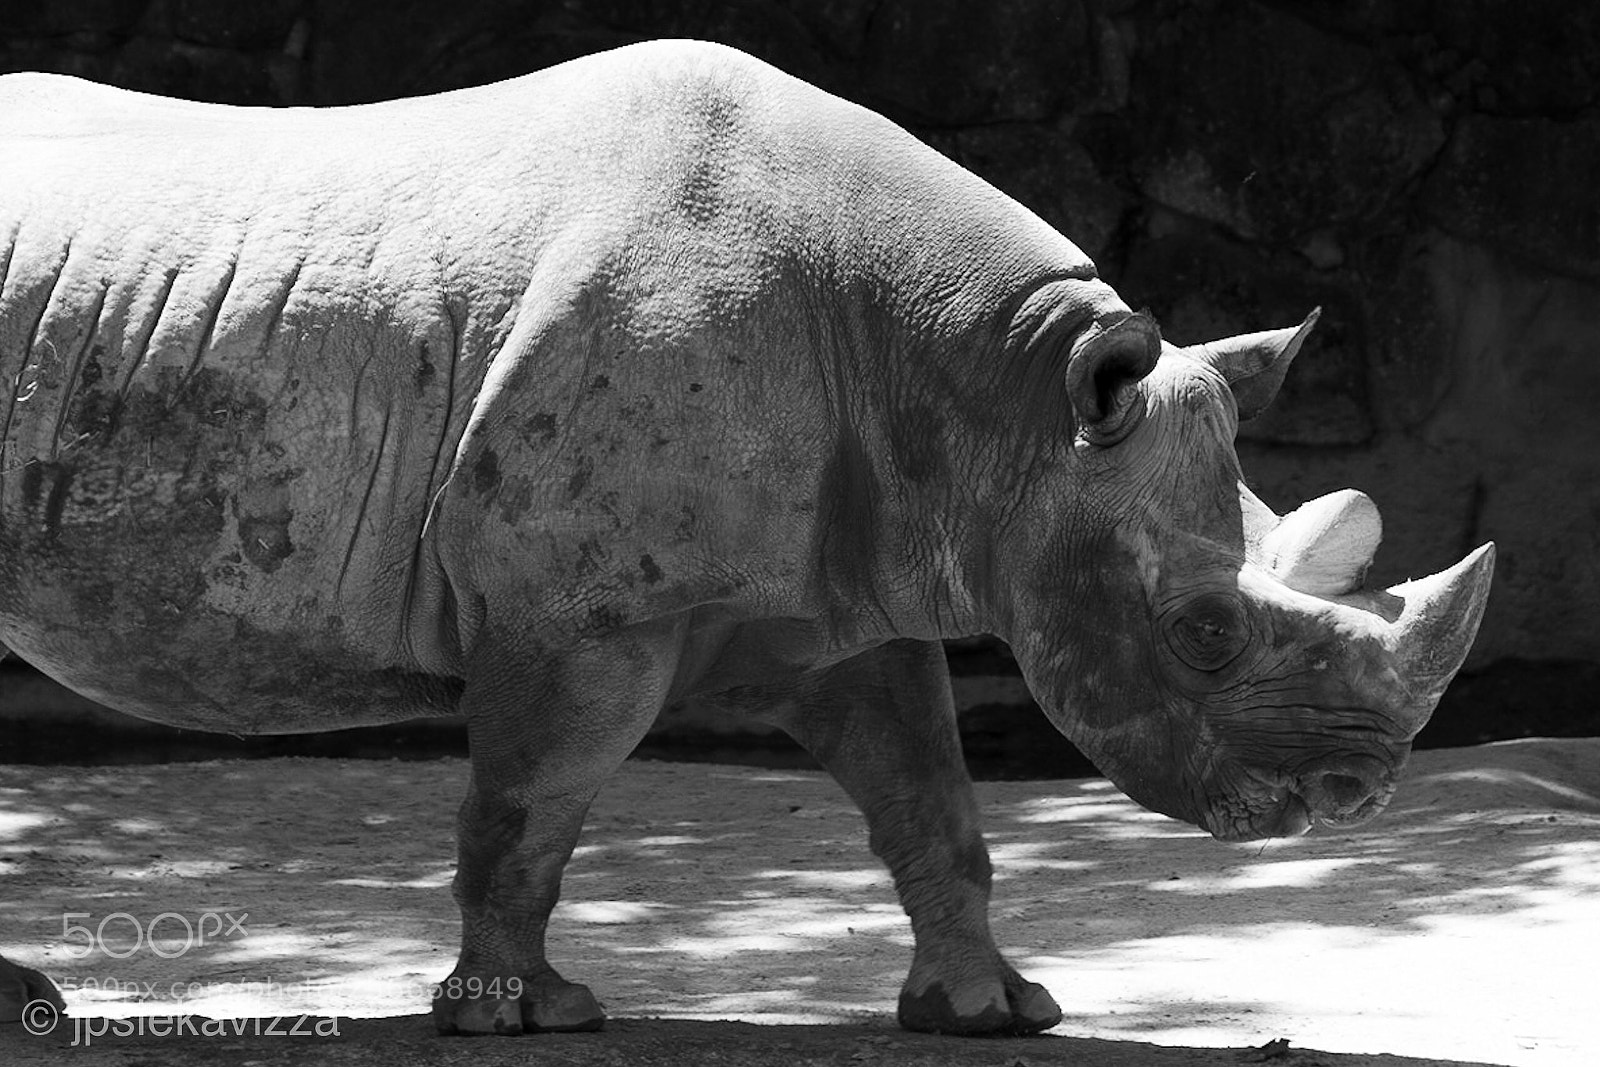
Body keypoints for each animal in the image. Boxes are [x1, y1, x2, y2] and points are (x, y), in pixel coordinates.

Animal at [0, 39, 1492, 1037]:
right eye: (1203, 630)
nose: (1356, 791)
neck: (994, 390)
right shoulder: (580, 609)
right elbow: (530, 800)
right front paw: (520, 1015)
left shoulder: (852, 586)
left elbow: (929, 795)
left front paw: (991, 1008)